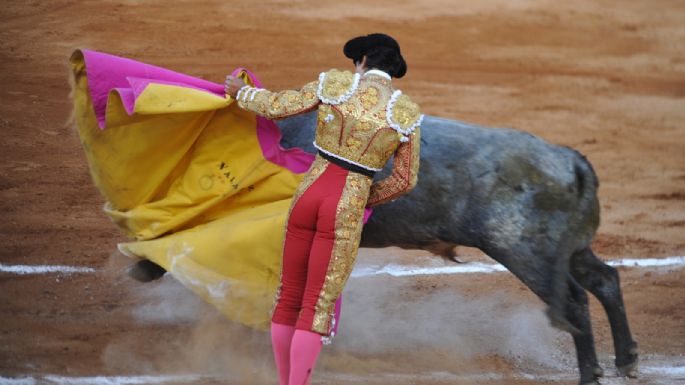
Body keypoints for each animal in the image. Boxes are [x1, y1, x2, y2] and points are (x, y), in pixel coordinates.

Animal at [276, 111, 640, 384]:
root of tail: (571, 160)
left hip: (525, 253)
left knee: (575, 300)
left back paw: (590, 374)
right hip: (571, 250)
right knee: (605, 280)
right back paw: (626, 360)